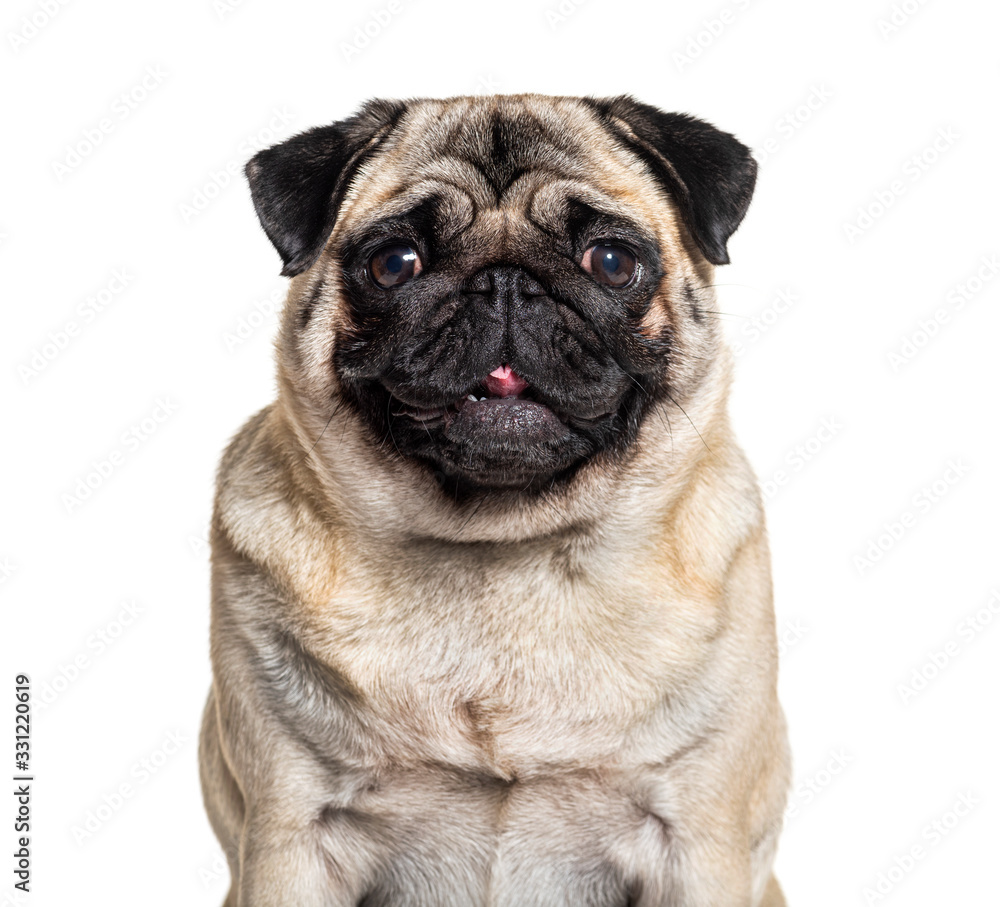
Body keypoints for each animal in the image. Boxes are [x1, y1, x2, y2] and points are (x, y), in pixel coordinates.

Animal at [199, 94, 792, 907]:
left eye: (612, 262)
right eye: (394, 263)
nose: (505, 282)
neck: (500, 552)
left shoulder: (697, 841)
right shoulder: (293, 839)